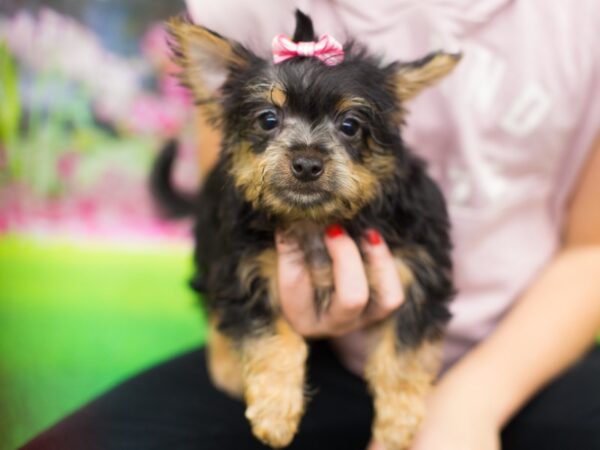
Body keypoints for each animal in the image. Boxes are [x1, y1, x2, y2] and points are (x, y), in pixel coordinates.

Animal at [152, 10, 458, 450]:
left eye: (350, 125)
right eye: (268, 119)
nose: (307, 163)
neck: (314, 220)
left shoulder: (417, 272)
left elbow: (402, 353)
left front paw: (397, 426)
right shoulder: (243, 271)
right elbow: (272, 339)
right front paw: (275, 413)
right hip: (210, 245)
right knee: (212, 304)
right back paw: (226, 366)